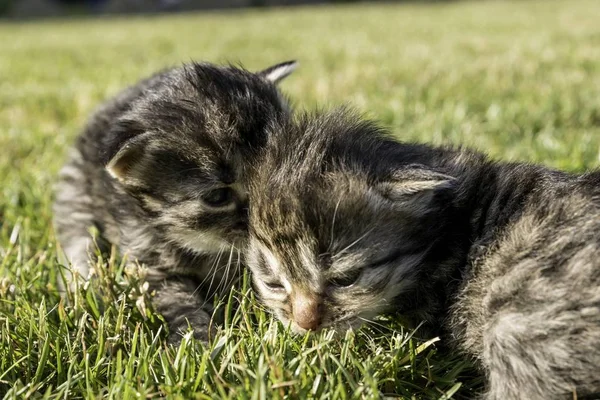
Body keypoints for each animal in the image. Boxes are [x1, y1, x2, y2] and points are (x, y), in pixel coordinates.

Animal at [52, 59, 296, 344]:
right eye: (218, 197)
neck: (205, 245)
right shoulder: (150, 264)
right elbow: (178, 302)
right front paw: (198, 337)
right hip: (76, 197)